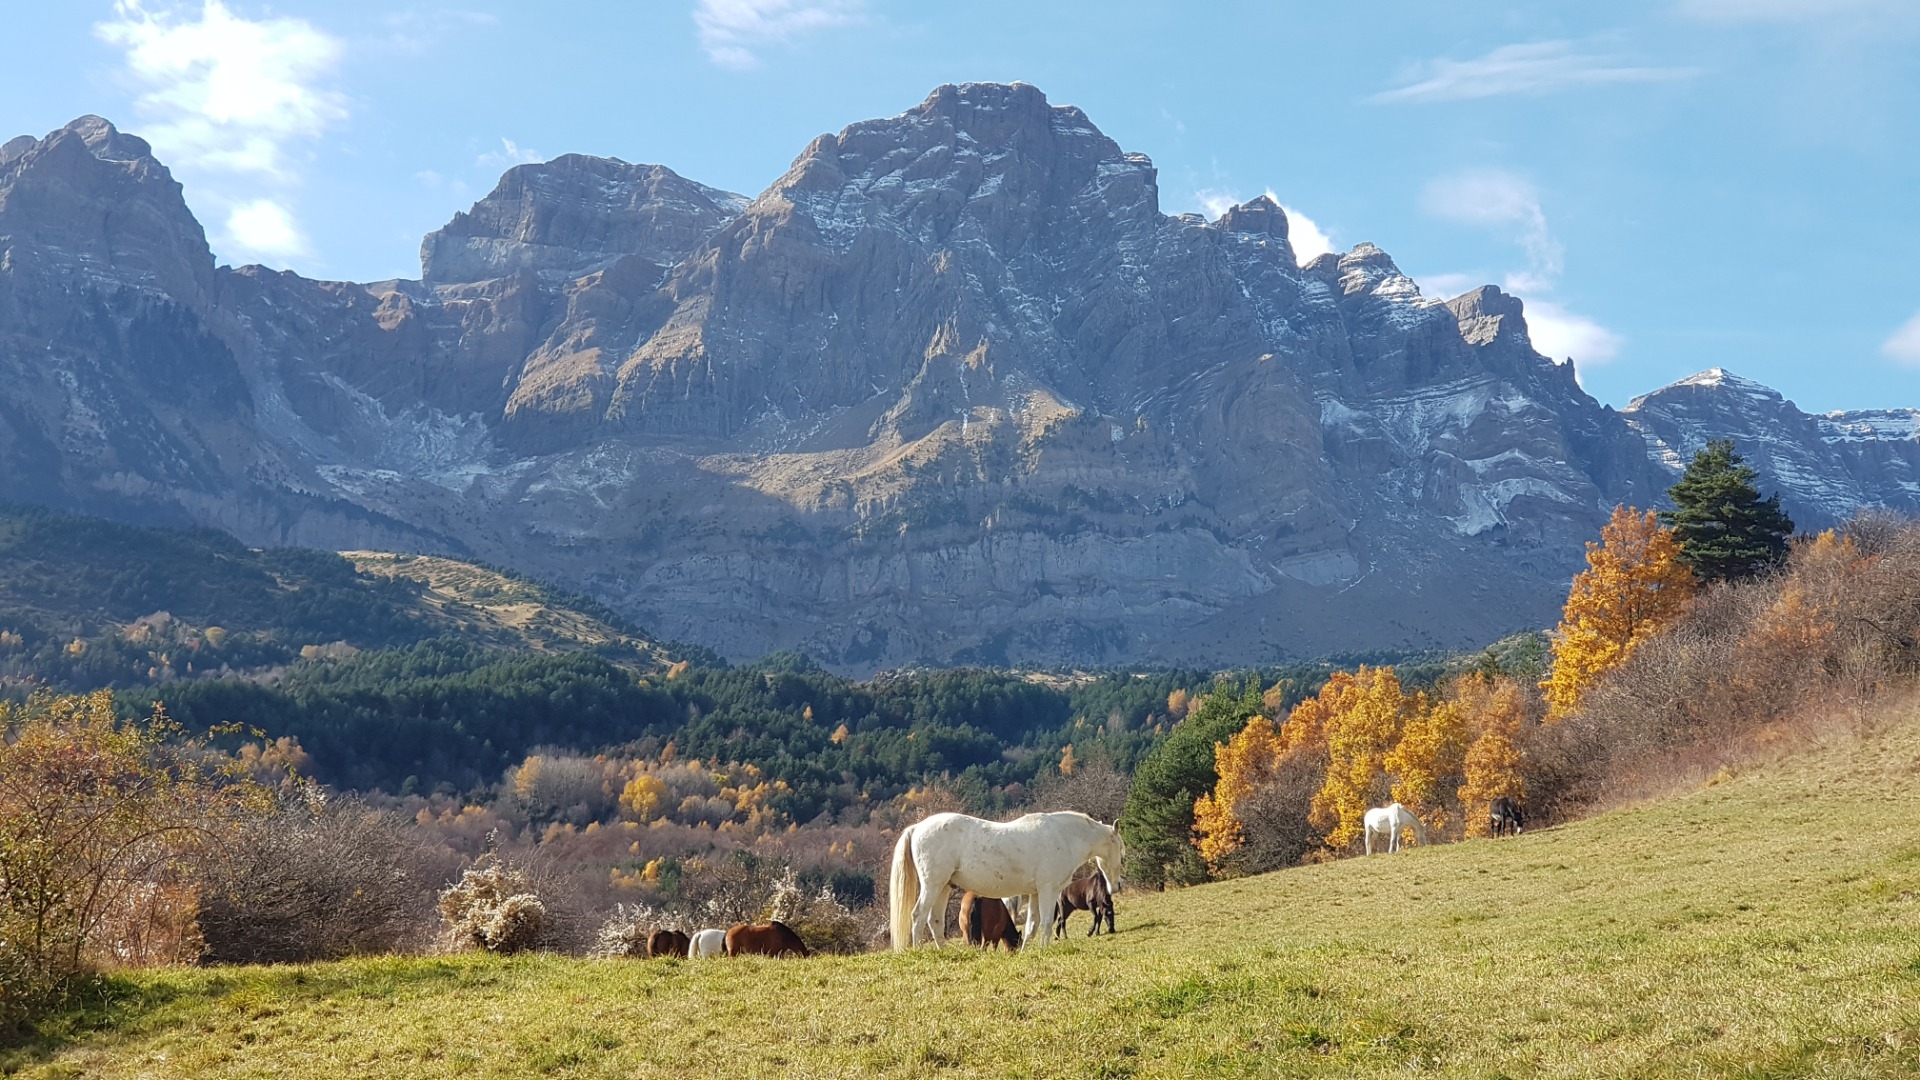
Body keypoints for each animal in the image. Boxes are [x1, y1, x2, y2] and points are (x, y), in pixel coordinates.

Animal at [887, 807, 1121, 949]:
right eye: (1120, 849)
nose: (1116, 886)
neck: (1063, 836)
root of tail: (917, 827)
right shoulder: (1048, 890)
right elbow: (1046, 922)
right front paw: (1044, 950)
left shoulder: (1035, 893)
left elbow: (1032, 925)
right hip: (932, 885)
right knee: (918, 916)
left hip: (944, 887)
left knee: (934, 920)